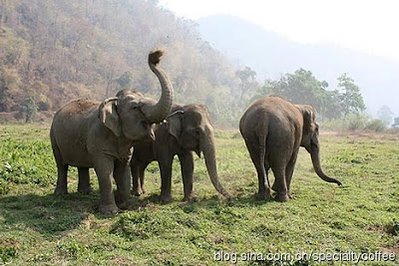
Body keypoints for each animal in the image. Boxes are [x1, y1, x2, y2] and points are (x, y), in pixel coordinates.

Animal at [50, 50, 175, 216]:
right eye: (135, 107)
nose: (155, 55)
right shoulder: (98, 141)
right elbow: (105, 173)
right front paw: (110, 212)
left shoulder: (125, 149)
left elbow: (123, 172)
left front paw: (124, 204)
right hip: (53, 137)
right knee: (61, 164)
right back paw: (61, 194)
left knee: (82, 164)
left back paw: (85, 192)